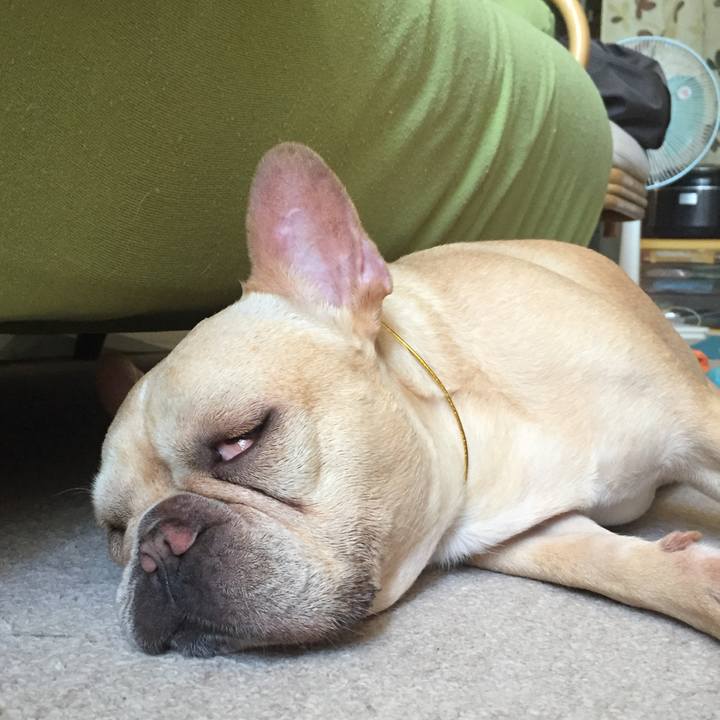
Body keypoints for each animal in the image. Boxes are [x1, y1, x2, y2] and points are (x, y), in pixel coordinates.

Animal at [92, 143, 720, 656]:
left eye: (241, 441)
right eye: (115, 529)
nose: (156, 544)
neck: (474, 436)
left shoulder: (700, 427)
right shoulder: (532, 534)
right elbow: (611, 565)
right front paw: (692, 578)